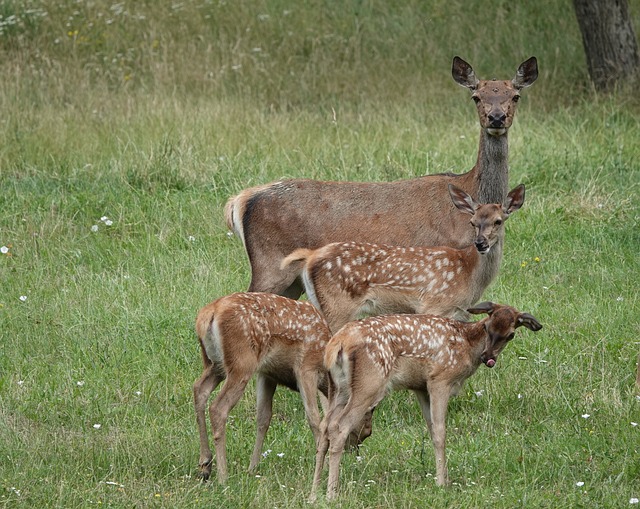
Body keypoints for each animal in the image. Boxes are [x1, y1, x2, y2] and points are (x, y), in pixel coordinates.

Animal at [192, 292, 370, 482]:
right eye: (368, 417)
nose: (354, 449)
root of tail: (209, 312)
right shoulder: (306, 368)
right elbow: (315, 417)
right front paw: (323, 465)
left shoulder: (267, 373)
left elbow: (263, 418)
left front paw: (252, 468)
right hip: (241, 362)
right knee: (218, 407)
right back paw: (223, 476)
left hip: (215, 364)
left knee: (199, 389)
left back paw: (205, 465)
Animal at [224, 55, 536, 298]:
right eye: (476, 97)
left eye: (515, 95)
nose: (496, 118)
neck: (469, 189)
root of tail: (241, 200)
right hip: (270, 266)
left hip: (290, 281)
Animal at [312, 302, 544, 500]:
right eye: (487, 326)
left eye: (511, 334)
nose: (488, 357)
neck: (467, 344)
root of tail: (338, 343)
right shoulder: (439, 379)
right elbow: (441, 431)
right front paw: (442, 484)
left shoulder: (420, 388)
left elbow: (431, 429)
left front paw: (443, 478)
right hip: (370, 383)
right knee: (340, 426)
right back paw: (331, 493)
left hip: (338, 388)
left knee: (325, 426)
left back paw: (315, 492)